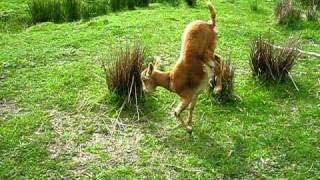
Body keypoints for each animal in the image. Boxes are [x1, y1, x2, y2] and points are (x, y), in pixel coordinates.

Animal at [141, 0, 221, 134]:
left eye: (144, 79)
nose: (144, 90)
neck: (170, 79)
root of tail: (210, 24)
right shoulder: (194, 93)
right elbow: (191, 107)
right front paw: (189, 123)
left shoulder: (186, 96)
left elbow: (176, 112)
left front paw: (188, 129)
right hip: (211, 50)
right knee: (219, 59)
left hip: (206, 53)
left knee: (218, 65)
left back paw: (217, 88)